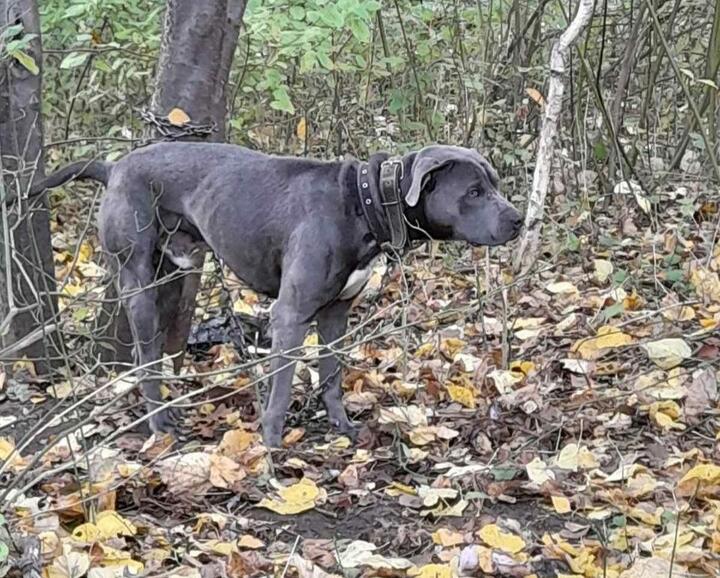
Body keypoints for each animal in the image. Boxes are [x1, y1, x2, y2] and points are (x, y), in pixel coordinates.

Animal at [33, 141, 520, 446]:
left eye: (495, 184)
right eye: (474, 191)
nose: (518, 219)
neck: (364, 202)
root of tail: (114, 167)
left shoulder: (335, 314)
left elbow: (331, 378)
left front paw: (343, 427)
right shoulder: (291, 314)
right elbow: (282, 390)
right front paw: (270, 447)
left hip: (172, 276)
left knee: (149, 351)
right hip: (137, 280)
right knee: (147, 356)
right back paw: (160, 424)